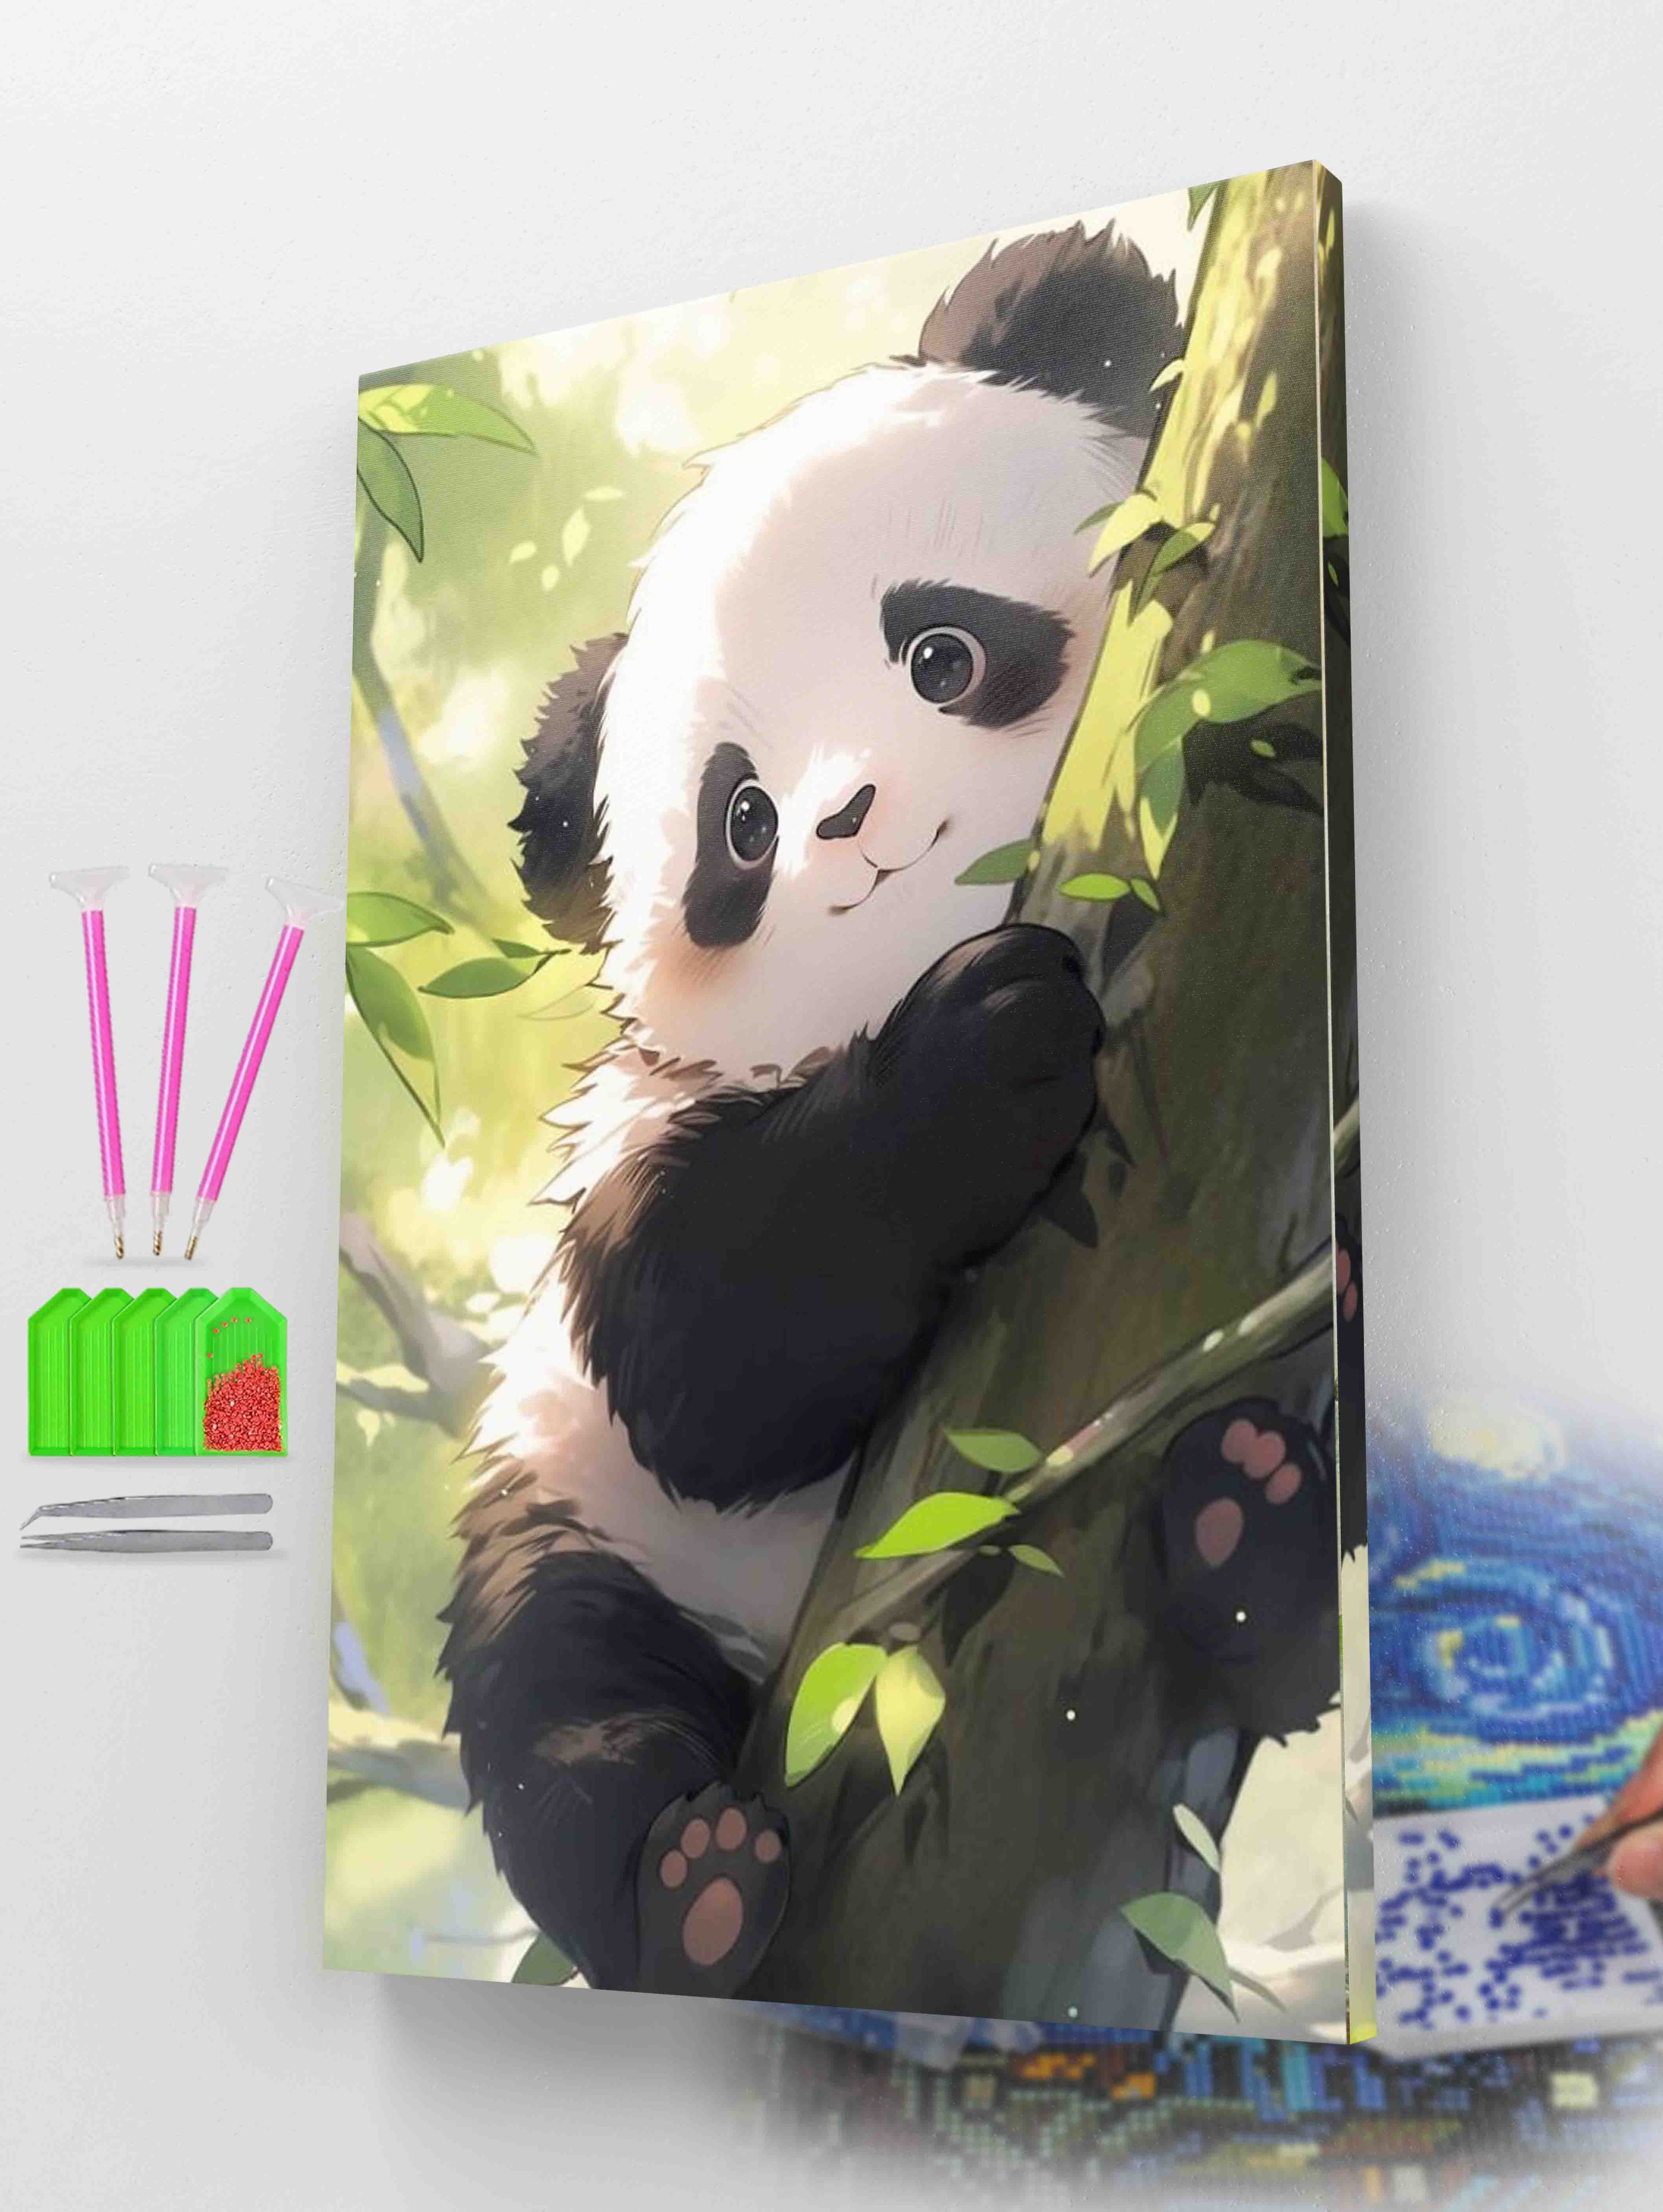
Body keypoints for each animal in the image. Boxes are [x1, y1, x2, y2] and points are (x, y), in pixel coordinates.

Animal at [439, 224, 1338, 1998]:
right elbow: (707, 1346)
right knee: (557, 1697)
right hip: (585, 1523)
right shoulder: (666, 1141)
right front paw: (983, 1054)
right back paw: (693, 1891)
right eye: (741, 823)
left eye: (943, 654)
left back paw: (1246, 1535)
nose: (851, 820)